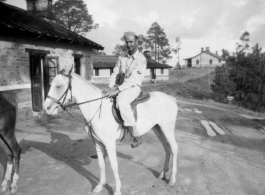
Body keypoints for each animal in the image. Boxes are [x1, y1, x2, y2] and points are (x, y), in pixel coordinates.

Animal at [44, 66, 178, 194]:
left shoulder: (109, 143)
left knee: (174, 148)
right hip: (158, 129)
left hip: (167, 129)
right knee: (167, 148)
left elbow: (114, 166)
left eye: (58, 86)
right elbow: (101, 164)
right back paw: (162, 174)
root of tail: (171, 98)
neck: (96, 108)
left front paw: (117, 190)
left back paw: (172, 180)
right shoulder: (97, 142)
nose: (46, 108)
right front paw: (100, 186)